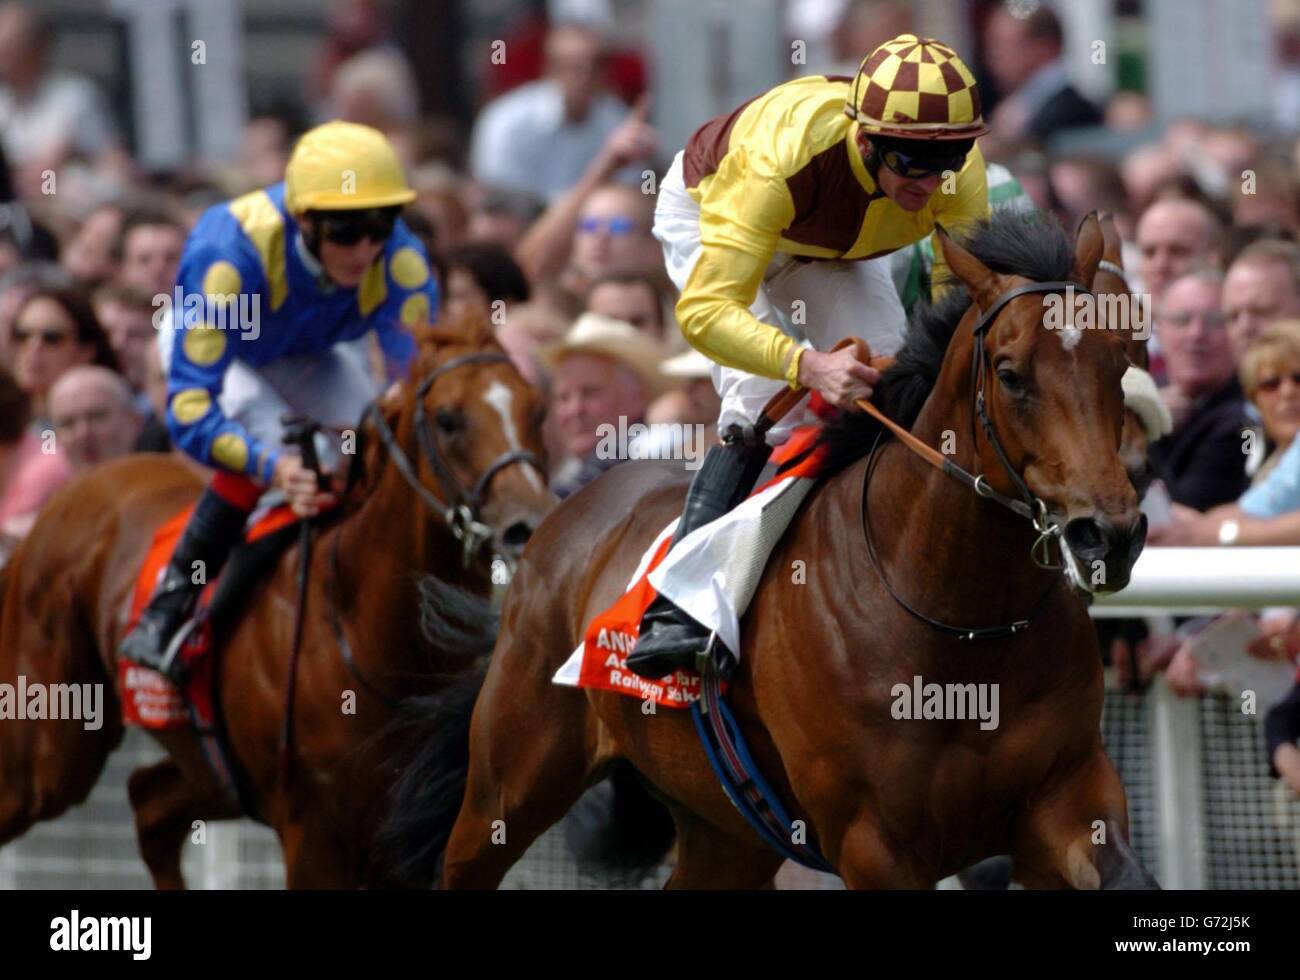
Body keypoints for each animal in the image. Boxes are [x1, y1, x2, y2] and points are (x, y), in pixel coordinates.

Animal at [0, 313, 553, 883]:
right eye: (448, 419)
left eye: (537, 410)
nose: (527, 525)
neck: (366, 628)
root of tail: (68, 496)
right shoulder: (311, 831)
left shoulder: (410, 832)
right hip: (48, 750)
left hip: (211, 772)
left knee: (148, 803)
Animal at [384, 210, 1159, 889]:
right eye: (1009, 373)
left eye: (1118, 362)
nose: (1109, 532)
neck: (963, 625)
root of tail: (564, 512)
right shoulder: (874, 841)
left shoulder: (1068, 800)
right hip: (510, 781)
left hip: (727, 831)